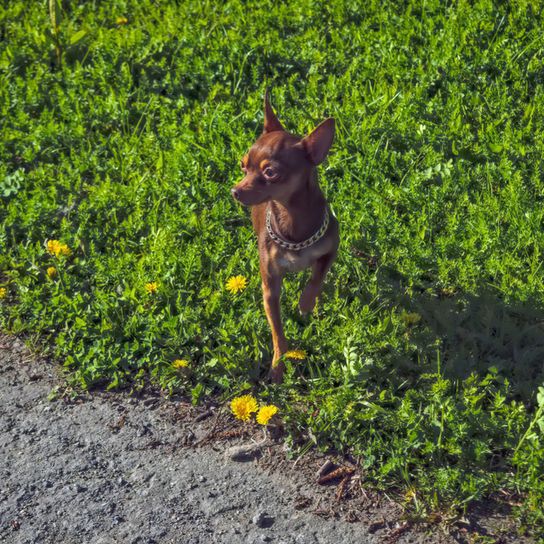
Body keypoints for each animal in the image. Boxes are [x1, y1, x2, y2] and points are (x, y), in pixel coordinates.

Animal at [231, 91, 340, 382]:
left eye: (270, 172)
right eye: (243, 167)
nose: (235, 190)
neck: (290, 217)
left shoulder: (331, 248)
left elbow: (316, 278)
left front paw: (305, 303)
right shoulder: (270, 288)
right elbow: (278, 333)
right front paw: (278, 366)